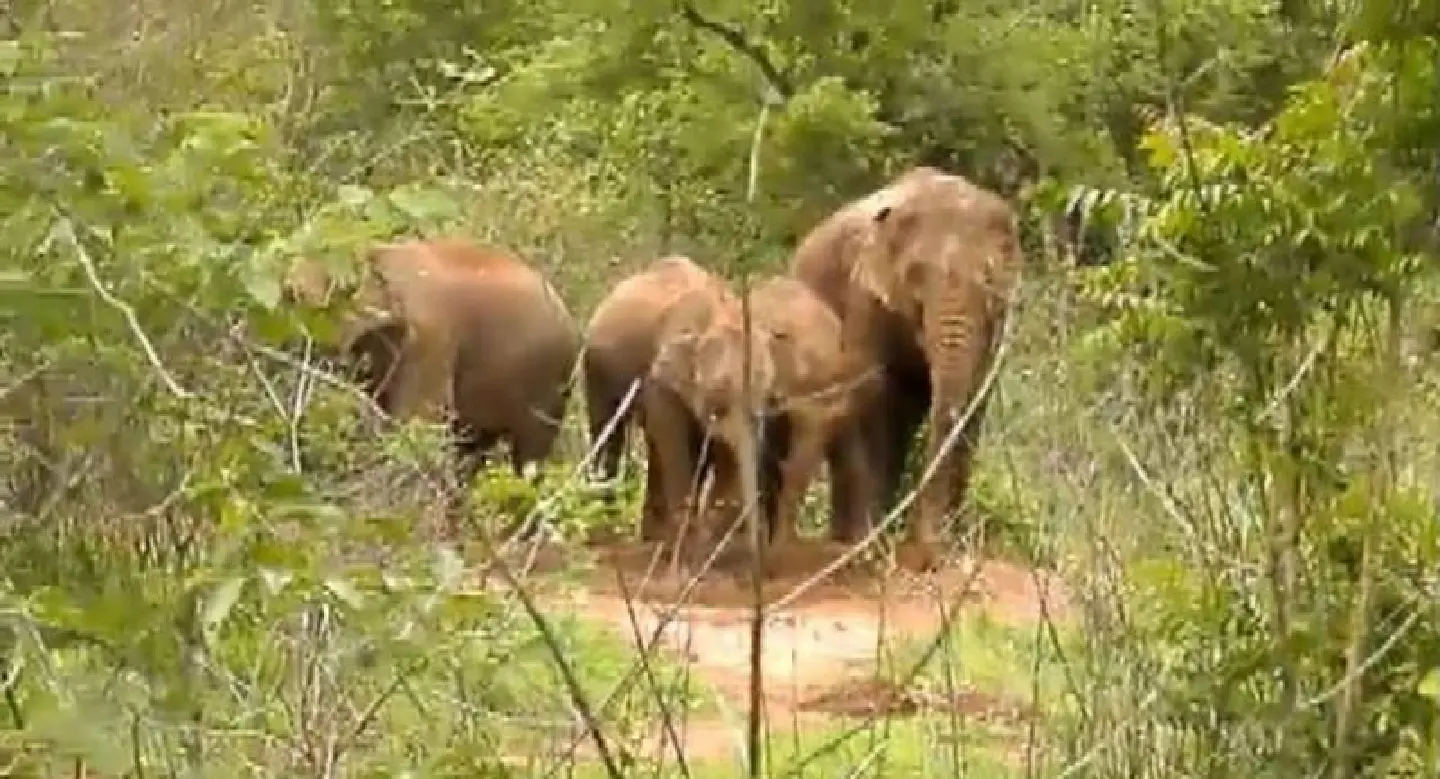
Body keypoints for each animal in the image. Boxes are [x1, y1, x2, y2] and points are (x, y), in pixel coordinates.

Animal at [287, 237, 582, 510]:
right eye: (290, 296)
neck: (377, 253)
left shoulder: (430, 336)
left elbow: (417, 422)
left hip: (549, 387)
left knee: (528, 457)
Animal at [790, 166, 1023, 569]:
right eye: (915, 277)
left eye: (989, 281)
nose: (928, 552)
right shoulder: (863, 300)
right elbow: (872, 397)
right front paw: (870, 547)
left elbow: (974, 401)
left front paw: (952, 545)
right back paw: (849, 542)